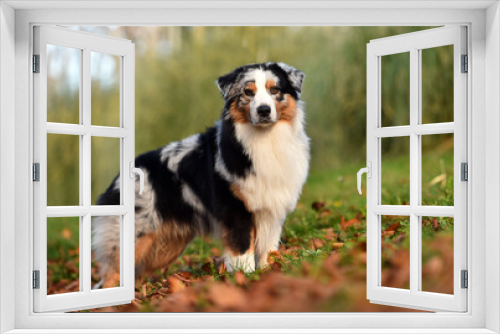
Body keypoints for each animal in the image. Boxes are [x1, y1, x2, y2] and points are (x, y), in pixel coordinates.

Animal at [93, 62, 308, 288]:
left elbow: (268, 250)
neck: (265, 139)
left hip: (165, 247)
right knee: (109, 277)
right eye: (248, 92)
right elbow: (242, 252)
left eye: (275, 90)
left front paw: (269, 275)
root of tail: (118, 177)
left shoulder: (272, 211)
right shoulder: (235, 211)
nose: (264, 110)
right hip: (135, 237)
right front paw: (246, 278)